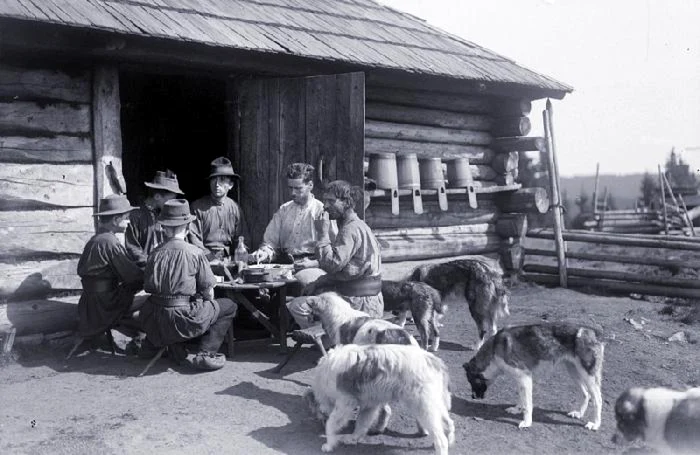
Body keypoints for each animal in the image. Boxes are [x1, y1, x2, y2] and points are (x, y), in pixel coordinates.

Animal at [306, 344, 454, 454]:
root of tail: (434, 360)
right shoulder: (369, 405)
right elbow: (361, 423)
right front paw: (353, 438)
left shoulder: (345, 403)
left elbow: (331, 424)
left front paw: (329, 444)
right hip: (434, 404)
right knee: (448, 423)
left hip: (423, 408)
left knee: (441, 439)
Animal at [462, 324, 604, 432]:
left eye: (471, 381)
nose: (473, 397)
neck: (494, 349)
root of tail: (594, 333)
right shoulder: (520, 380)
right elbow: (521, 399)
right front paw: (516, 409)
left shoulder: (525, 378)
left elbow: (527, 405)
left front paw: (526, 422)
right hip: (574, 372)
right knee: (586, 394)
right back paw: (579, 413)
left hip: (588, 377)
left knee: (597, 399)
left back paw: (595, 424)